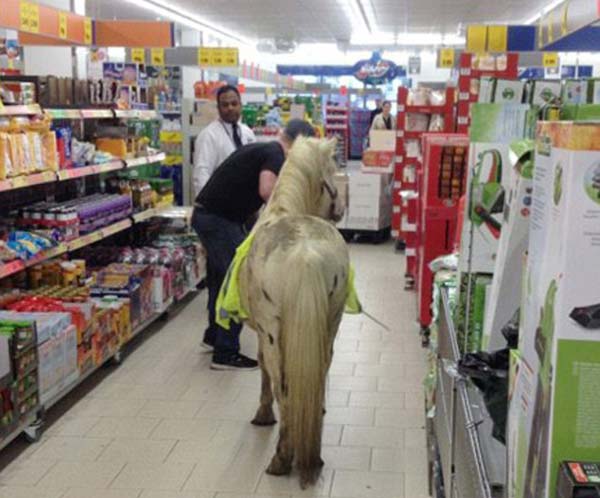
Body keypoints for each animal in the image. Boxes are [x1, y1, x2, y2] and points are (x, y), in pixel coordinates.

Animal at [238, 137, 349, 488]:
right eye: (333, 171)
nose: (341, 209)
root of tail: (305, 253)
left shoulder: (263, 335)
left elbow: (263, 370)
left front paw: (262, 415)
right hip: (330, 325)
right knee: (319, 372)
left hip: (274, 335)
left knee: (283, 387)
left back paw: (281, 459)